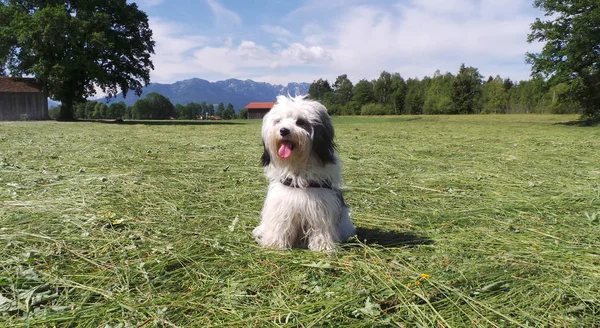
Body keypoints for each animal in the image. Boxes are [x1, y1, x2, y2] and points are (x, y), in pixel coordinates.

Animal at [250, 95, 354, 251]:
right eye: (278, 121)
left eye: (300, 122)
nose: (283, 130)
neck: (298, 169)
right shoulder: (281, 205)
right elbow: (280, 225)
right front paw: (275, 243)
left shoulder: (321, 205)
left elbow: (321, 227)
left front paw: (323, 246)